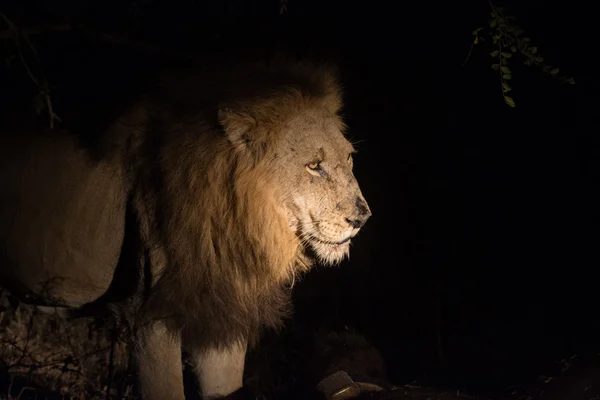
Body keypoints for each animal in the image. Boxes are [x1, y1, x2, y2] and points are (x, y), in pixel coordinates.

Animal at [0, 57, 372, 400]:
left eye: (349, 158)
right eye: (314, 165)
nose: (362, 217)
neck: (237, 222)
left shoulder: (222, 313)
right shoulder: (151, 313)